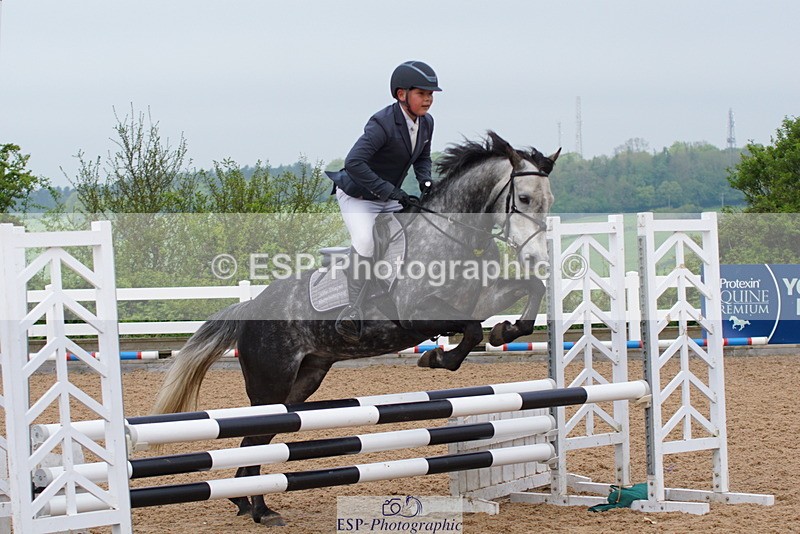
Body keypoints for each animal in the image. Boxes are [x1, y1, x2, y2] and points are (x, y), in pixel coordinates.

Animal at [151, 131, 560, 526]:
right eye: (523, 198)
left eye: (548, 201)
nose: (538, 257)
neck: (452, 235)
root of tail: (251, 307)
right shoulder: (419, 313)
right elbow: (471, 330)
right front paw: (438, 358)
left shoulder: (481, 298)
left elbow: (531, 290)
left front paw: (505, 331)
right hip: (271, 383)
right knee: (254, 437)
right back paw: (258, 508)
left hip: (302, 382)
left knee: (258, 440)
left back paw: (249, 503)